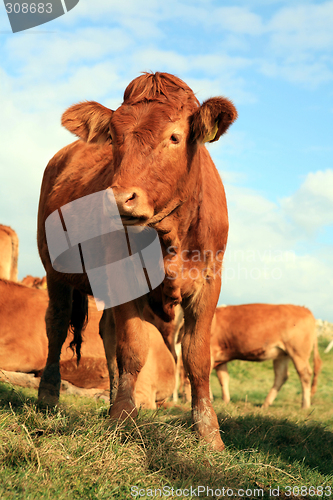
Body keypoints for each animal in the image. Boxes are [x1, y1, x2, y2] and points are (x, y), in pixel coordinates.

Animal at [36, 70, 236, 450]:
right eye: (114, 137)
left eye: (174, 137)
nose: (118, 199)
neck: (170, 239)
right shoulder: (124, 279)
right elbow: (133, 348)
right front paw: (123, 418)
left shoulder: (209, 282)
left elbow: (196, 356)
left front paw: (208, 432)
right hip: (54, 270)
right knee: (56, 325)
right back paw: (47, 398)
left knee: (106, 331)